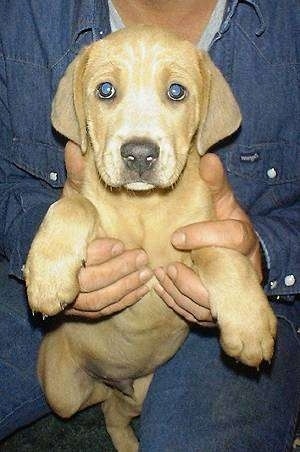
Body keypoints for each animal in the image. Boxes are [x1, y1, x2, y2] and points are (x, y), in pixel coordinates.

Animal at [24, 25, 276, 452]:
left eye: (176, 91)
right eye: (105, 90)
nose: (139, 155)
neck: (144, 206)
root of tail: (114, 380)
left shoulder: (200, 227)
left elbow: (221, 252)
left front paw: (250, 325)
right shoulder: (93, 217)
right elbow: (75, 205)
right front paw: (47, 278)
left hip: (139, 391)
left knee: (113, 411)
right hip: (62, 392)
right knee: (100, 405)